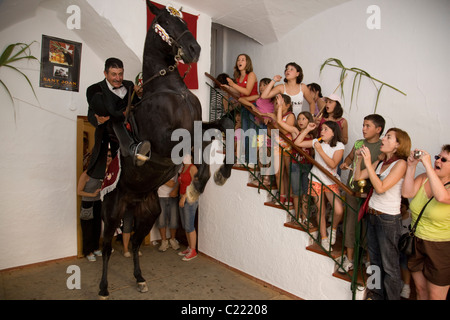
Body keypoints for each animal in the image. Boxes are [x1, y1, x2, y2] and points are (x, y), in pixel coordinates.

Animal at [97, 1, 232, 298]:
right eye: (168, 22)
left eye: (185, 21)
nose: (195, 49)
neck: (170, 88)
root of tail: (131, 199)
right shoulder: (166, 140)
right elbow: (197, 142)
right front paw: (196, 185)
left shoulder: (197, 125)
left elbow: (225, 126)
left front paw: (219, 175)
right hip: (112, 213)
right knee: (107, 248)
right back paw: (103, 287)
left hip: (149, 213)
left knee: (136, 243)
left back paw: (139, 278)